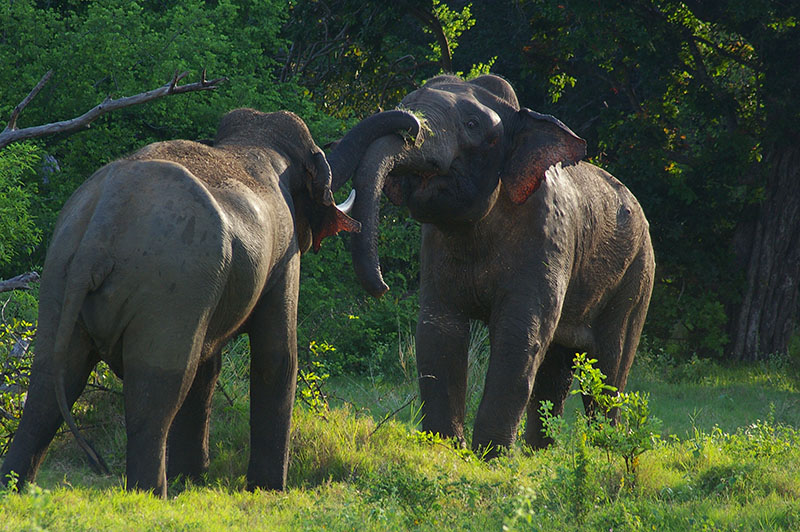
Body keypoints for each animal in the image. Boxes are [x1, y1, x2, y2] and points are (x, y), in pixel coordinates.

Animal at [0, 107, 420, 497]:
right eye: (317, 159)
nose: (414, 132)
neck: (253, 143)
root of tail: (99, 233)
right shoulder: (283, 253)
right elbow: (276, 356)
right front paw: (268, 490)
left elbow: (208, 364)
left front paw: (193, 478)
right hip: (168, 288)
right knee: (156, 392)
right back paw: (152, 496)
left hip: (60, 275)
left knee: (49, 385)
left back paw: (16, 488)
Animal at [345, 74, 655, 455]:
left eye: (472, 124)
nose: (383, 287)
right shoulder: (434, 246)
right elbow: (438, 330)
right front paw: (446, 448)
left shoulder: (547, 236)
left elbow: (520, 333)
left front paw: (489, 457)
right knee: (556, 368)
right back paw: (540, 454)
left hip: (637, 275)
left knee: (610, 365)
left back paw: (603, 450)